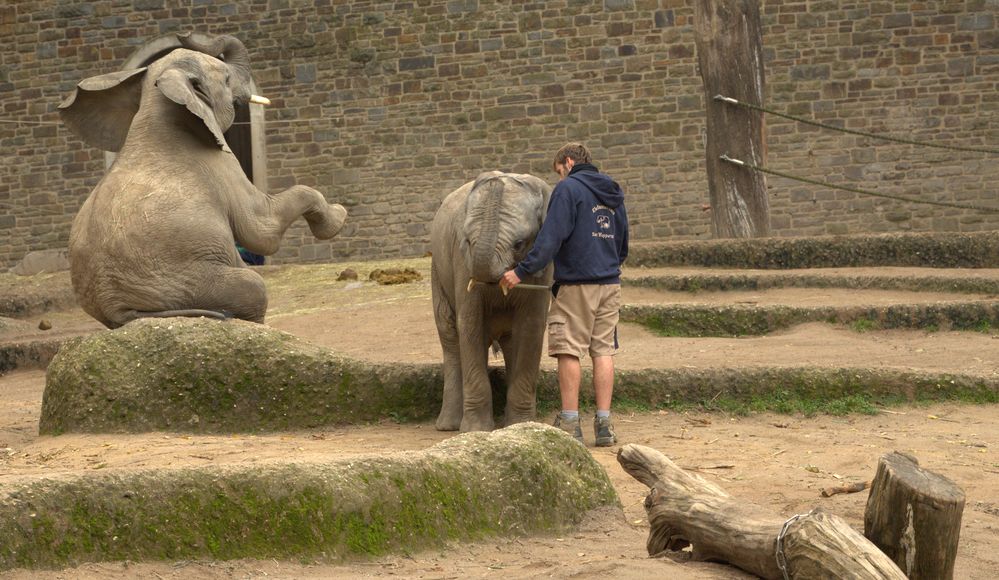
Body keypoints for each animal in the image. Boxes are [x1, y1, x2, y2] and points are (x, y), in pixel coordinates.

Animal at [59, 31, 348, 328]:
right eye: (227, 79)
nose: (183, 34)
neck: (157, 101)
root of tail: (116, 309)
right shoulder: (220, 164)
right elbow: (261, 230)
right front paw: (339, 217)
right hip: (186, 283)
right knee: (254, 287)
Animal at [430, 172, 556, 430]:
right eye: (468, 241)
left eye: (519, 244)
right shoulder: (461, 261)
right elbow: (470, 325)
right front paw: (475, 430)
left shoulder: (544, 267)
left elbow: (531, 327)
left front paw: (521, 426)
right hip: (437, 270)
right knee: (450, 335)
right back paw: (448, 426)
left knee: (511, 340)